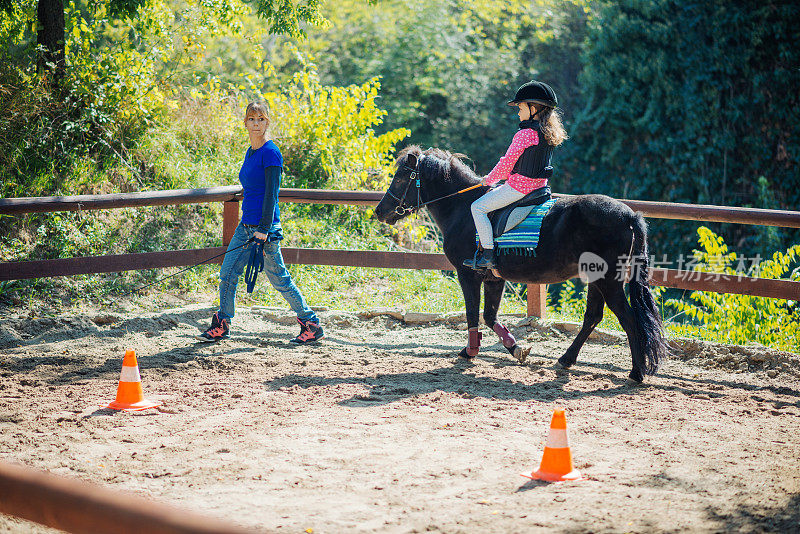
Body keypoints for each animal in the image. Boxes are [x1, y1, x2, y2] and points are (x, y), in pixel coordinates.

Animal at [376, 146, 668, 386]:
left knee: (628, 319)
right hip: (596, 279)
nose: (380, 211)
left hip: (608, 280)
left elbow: (473, 314)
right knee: (593, 317)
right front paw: (516, 349)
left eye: (401, 177)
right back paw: (566, 360)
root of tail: (630, 215)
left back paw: (637, 373)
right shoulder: (494, 279)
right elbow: (490, 316)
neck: (462, 209)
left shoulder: (468, 274)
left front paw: (469, 352)